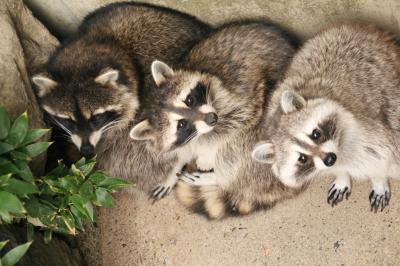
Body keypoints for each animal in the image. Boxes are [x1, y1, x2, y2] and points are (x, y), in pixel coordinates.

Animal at [128, 20, 300, 216]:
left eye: (189, 99)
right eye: (181, 124)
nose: (212, 118)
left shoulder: (239, 96)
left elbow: (237, 124)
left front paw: (207, 156)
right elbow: (183, 150)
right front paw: (173, 171)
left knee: (238, 150)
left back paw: (218, 176)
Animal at [252, 25, 400, 212]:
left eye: (315, 134)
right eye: (302, 158)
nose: (329, 158)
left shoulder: (369, 128)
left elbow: (379, 158)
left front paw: (378, 180)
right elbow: (337, 169)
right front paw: (341, 176)